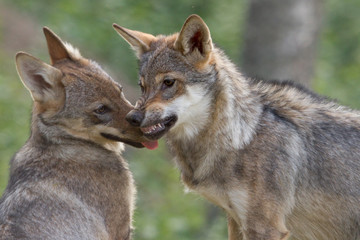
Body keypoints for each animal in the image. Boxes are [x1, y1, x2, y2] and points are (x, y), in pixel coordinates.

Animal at [114, 15, 360, 240]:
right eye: (142, 86)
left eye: (168, 83)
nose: (132, 117)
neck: (241, 137)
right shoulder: (235, 220)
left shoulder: (265, 227)